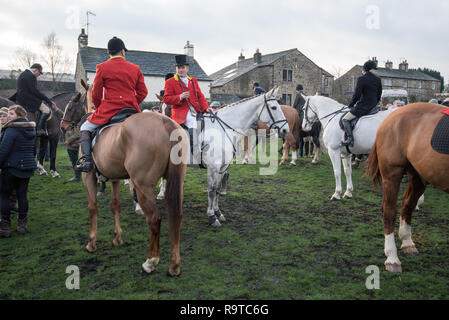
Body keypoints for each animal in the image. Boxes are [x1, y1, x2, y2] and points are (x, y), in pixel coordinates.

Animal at [60, 82, 187, 276]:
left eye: (70, 106)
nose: (62, 125)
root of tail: (166, 123)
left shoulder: (88, 176)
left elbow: (92, 207)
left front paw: (91, 242)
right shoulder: (114, 178)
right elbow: (115, 205)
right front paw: (117, 238)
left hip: (143, 185)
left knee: (154, 219)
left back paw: (150, 262)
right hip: (176, 181)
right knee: (176, 217)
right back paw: (174, 265)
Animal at [156, 87, 288, 226]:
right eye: (274, 107)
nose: (286, 130)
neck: (223, 129)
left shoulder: (222, 168)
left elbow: (217, 190)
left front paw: (218, 212)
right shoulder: (213, 167)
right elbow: (211, 190)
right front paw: (212, 216)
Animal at [368, 104, 448, 274]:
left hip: (419, 175)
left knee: (407, 204)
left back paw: (407, 242)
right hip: (392, 174)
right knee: (389, 211)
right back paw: (392, 257)